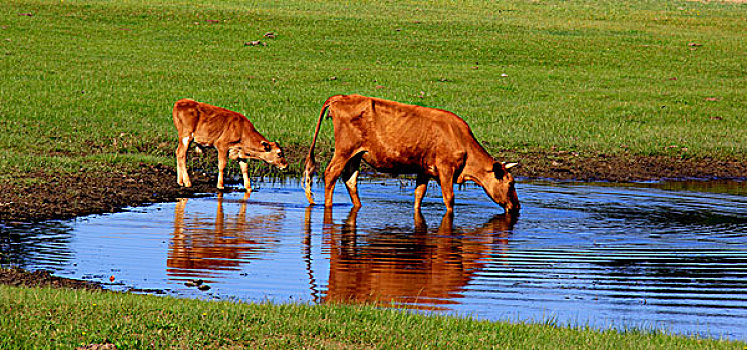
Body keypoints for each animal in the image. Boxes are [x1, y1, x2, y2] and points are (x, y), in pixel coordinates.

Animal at [304, 93, 520, 213]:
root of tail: (341, 97)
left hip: (356, 154)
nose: (517, 207)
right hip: (344, 149)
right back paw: (328, 206)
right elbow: (449, 199)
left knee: (350, 179)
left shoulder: (425, 169)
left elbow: (419, 195)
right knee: (331, 174)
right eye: (510, 183)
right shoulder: (445, 169)